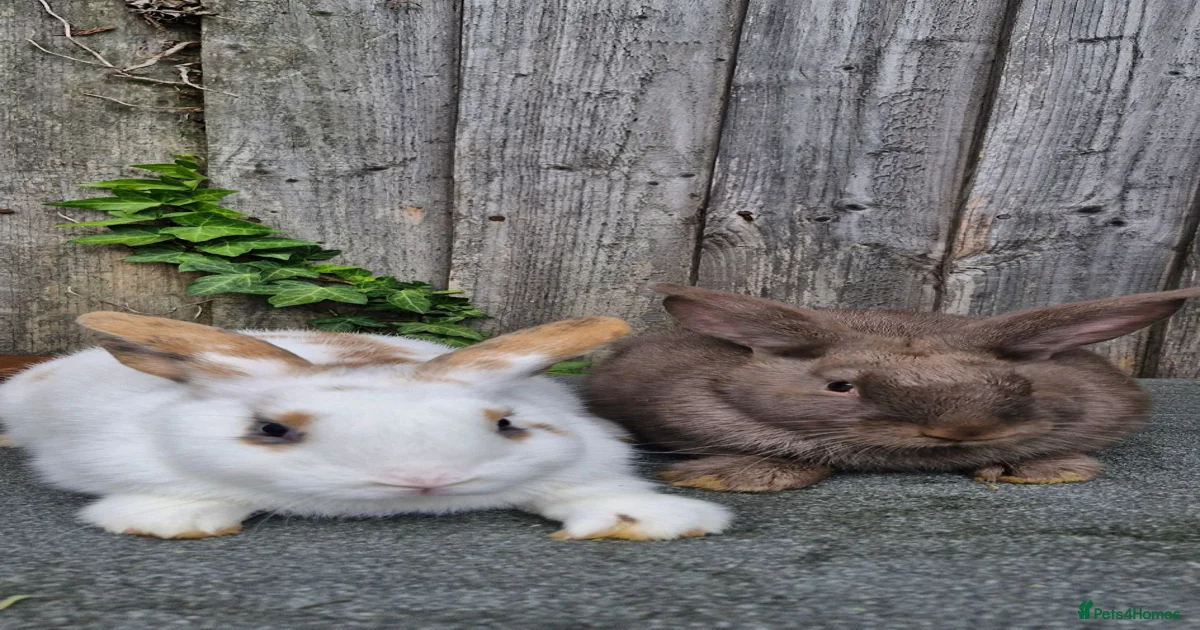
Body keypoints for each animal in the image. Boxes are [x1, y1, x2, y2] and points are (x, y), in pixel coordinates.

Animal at [0, 311, 731, 540]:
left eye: (506, 423)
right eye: (272, 431)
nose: (424, 479)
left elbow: (586, 490)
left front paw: (654, 521)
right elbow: (183, 491)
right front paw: (164, 522)